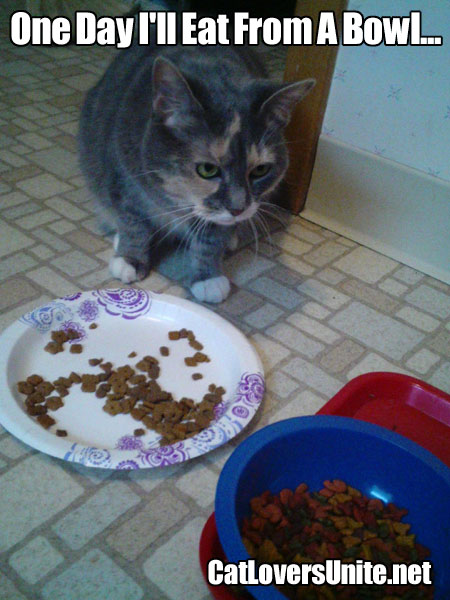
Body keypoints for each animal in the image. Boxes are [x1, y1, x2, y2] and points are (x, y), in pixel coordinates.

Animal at [79, 42, 314, 302]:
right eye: (207, 169)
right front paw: (129, 259)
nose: (238, 209)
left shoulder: (218, 215)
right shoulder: (122, 177)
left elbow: (210, 239)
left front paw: (208, 278)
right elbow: (134, 221)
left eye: (261, 170)